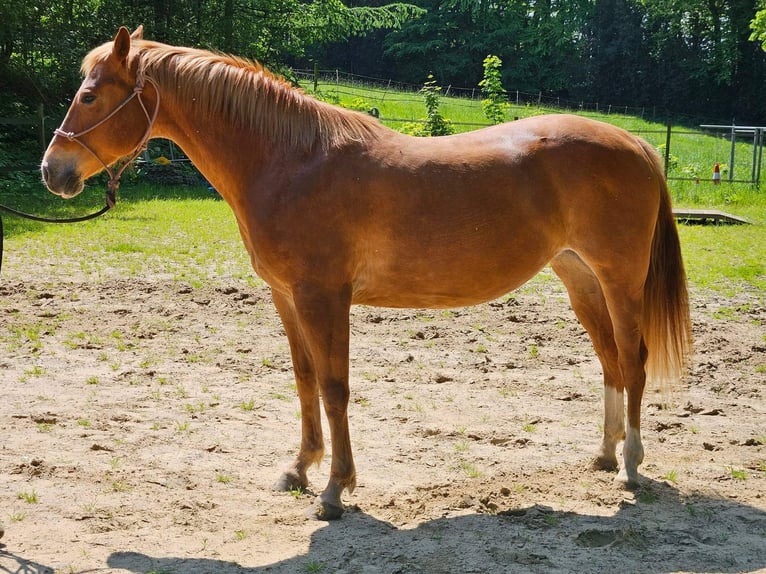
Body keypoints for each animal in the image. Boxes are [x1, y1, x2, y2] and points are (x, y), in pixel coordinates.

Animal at [42, 25, 696, 520]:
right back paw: (605, 455)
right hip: (579, 279)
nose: (53, 171)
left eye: (91, 97)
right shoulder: (287, 298)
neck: (292, 162)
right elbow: (305, 381)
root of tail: (637, 144)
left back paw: (632, 466)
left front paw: (335, 490)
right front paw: (299, 469)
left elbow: (335, 388)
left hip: (618, 281)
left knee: (633, 360)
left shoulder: (324, 297)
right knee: (610, 362)